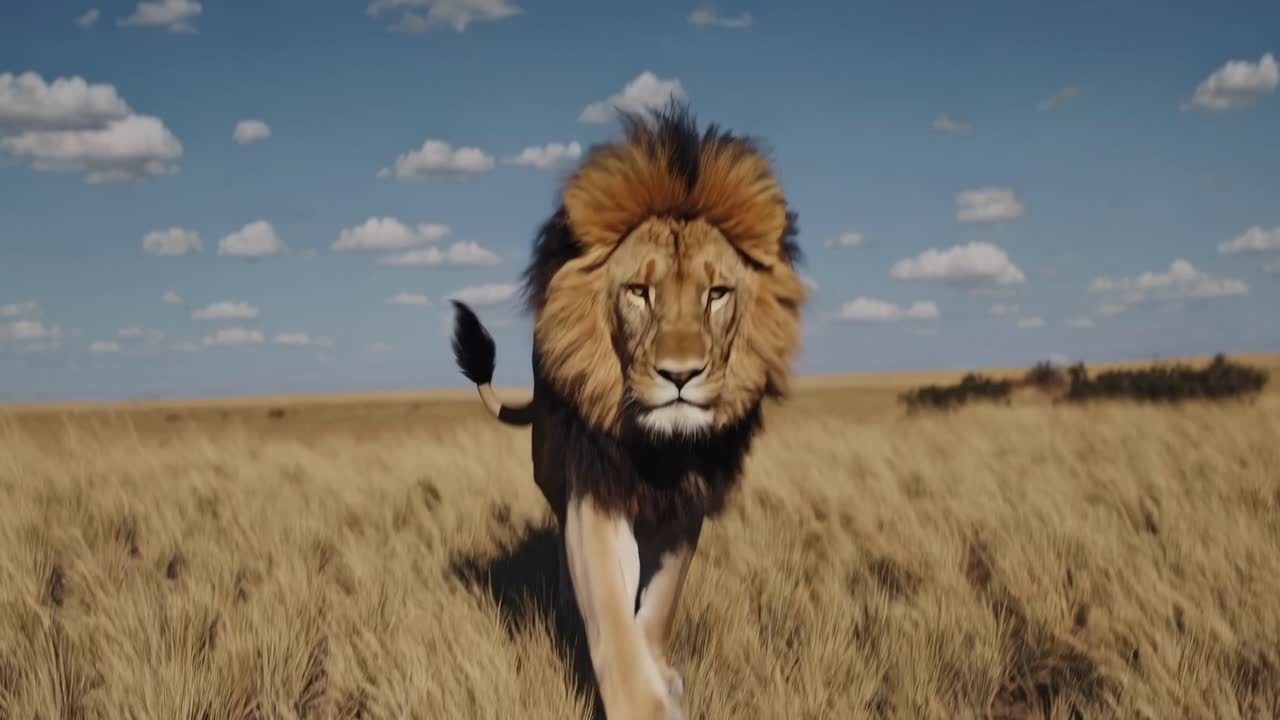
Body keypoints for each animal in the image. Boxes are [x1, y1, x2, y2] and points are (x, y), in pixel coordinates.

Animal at [449, 102, 807, 720]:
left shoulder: (688, 501)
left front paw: (664, 672)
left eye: (717, 295)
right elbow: (613, 617)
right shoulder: (596, 487)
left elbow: (659, 603)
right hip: (551, 467)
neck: (657, 450)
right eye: (640, 291)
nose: (680, 375)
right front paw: (645, 697)